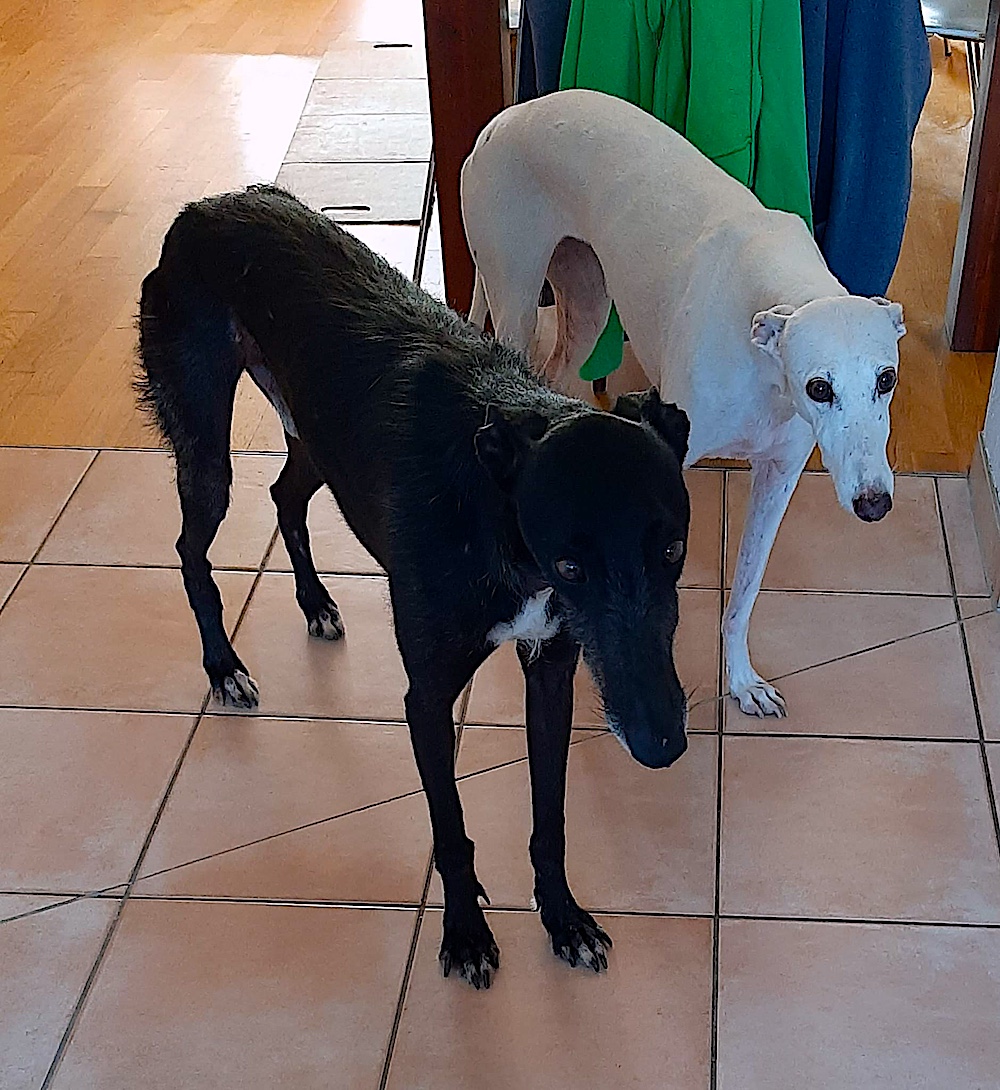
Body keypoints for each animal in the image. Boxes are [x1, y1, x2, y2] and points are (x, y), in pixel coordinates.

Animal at [136, 185, 692, 988]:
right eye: (571, 568)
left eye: (673, 550)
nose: (662, 745)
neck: (496, 510)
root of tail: (206, 208)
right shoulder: (426, 696)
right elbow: (451, 828)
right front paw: (465, 933)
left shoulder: (551, 669)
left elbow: (549, 818)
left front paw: (562, 919)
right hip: (206, 442)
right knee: (190, 549)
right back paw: (224, 667)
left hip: (315, 439)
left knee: (284, 494)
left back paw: (315, 603)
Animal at [461, 89, 907, 718]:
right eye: (820, 387)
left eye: (886, 379)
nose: (874, 504)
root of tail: (504, 119)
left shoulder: (779, 474)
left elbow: (744, 591)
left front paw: (742, 681)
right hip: (516, 298)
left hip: (587, 303)